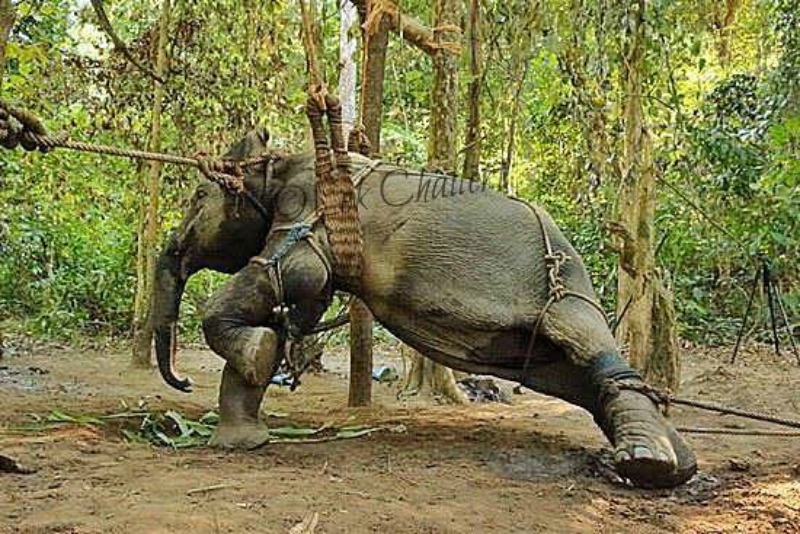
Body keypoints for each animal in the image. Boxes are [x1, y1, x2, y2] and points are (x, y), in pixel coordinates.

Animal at [153, 141, 696, 490]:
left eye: (196, 198)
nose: (183, 382)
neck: (281, 161)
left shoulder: (305, 216)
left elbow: (294, 276)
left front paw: (255, 354)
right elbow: (298, 301)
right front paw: (243, 435)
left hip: (564, 291)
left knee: (591, 350)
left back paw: (647, 463)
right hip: (537, 336)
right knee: (577, 377)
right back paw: (677, 466)